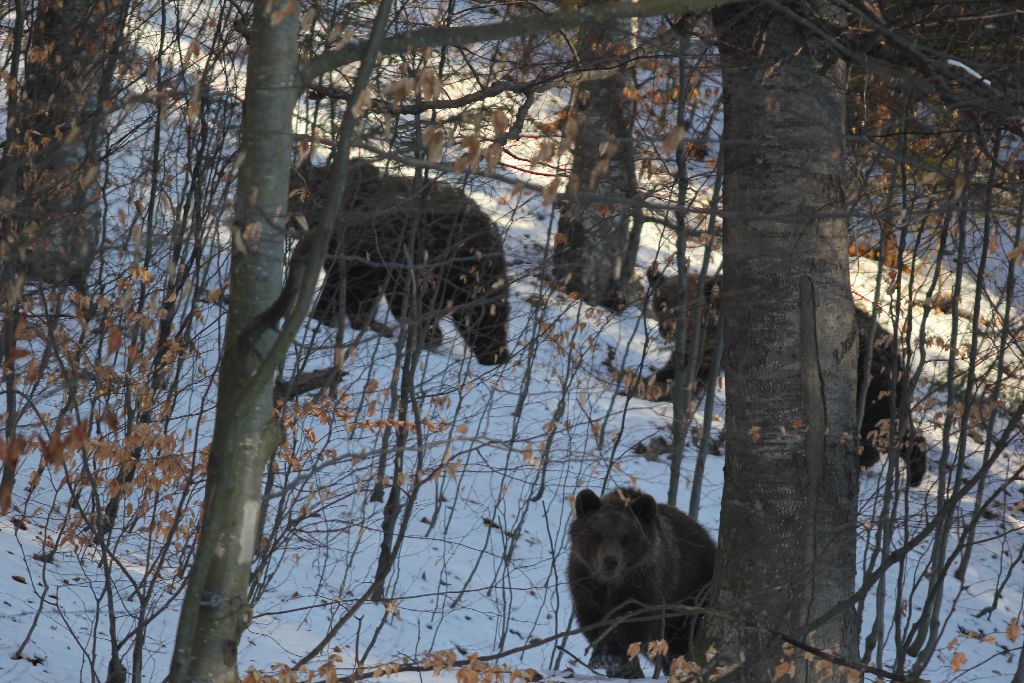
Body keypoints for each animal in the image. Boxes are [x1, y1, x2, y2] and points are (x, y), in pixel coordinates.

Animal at [565, 489, 716, 675]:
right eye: (598, 533)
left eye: (626, 536)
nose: (611, 561)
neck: (610, 583)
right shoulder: (585, 582)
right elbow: (593, 621)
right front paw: (611, 663)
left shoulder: (642, 581)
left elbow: (632, 618)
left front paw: (612, 657)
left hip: (692, 593)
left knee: (680, 642)